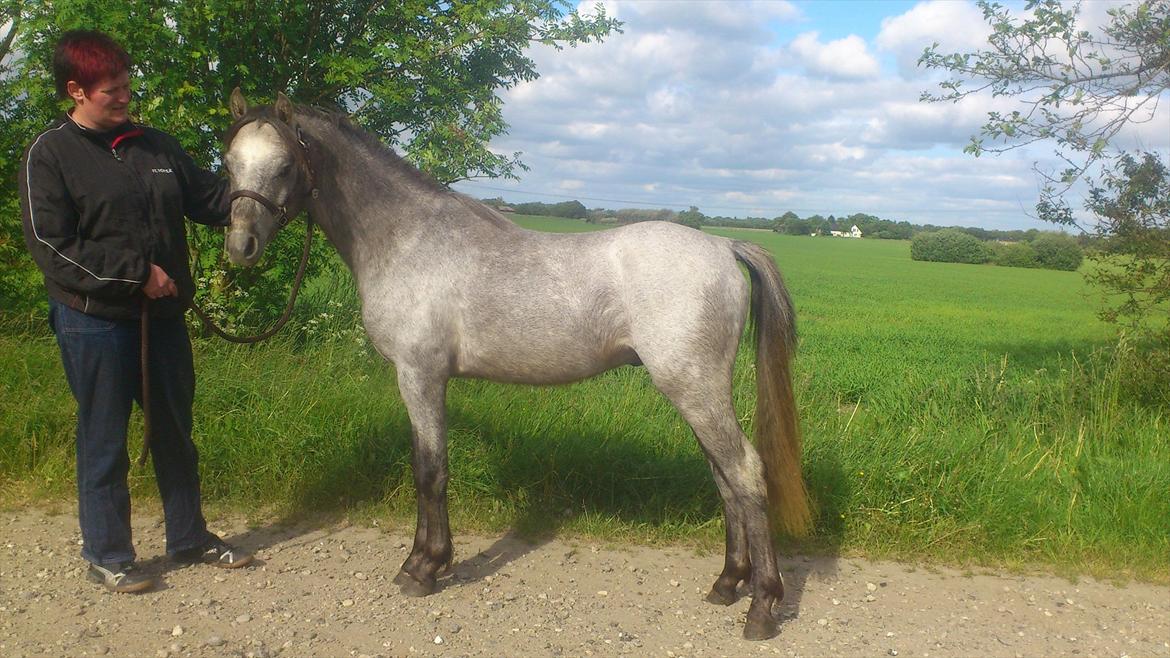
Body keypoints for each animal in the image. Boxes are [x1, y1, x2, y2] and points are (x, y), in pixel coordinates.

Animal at [220, 90, 811, 640]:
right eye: (228, 162)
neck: (406, 237)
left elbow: (430, 470)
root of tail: (723, 245)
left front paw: (422, 568)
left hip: (693, 387)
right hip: (695, 392)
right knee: (725, 479)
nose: (240, 246)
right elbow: (428, 468)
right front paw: (428, 561)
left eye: (285, 165)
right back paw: (727, 584)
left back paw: (761, 606)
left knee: (744, 473)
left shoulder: (419, 375)